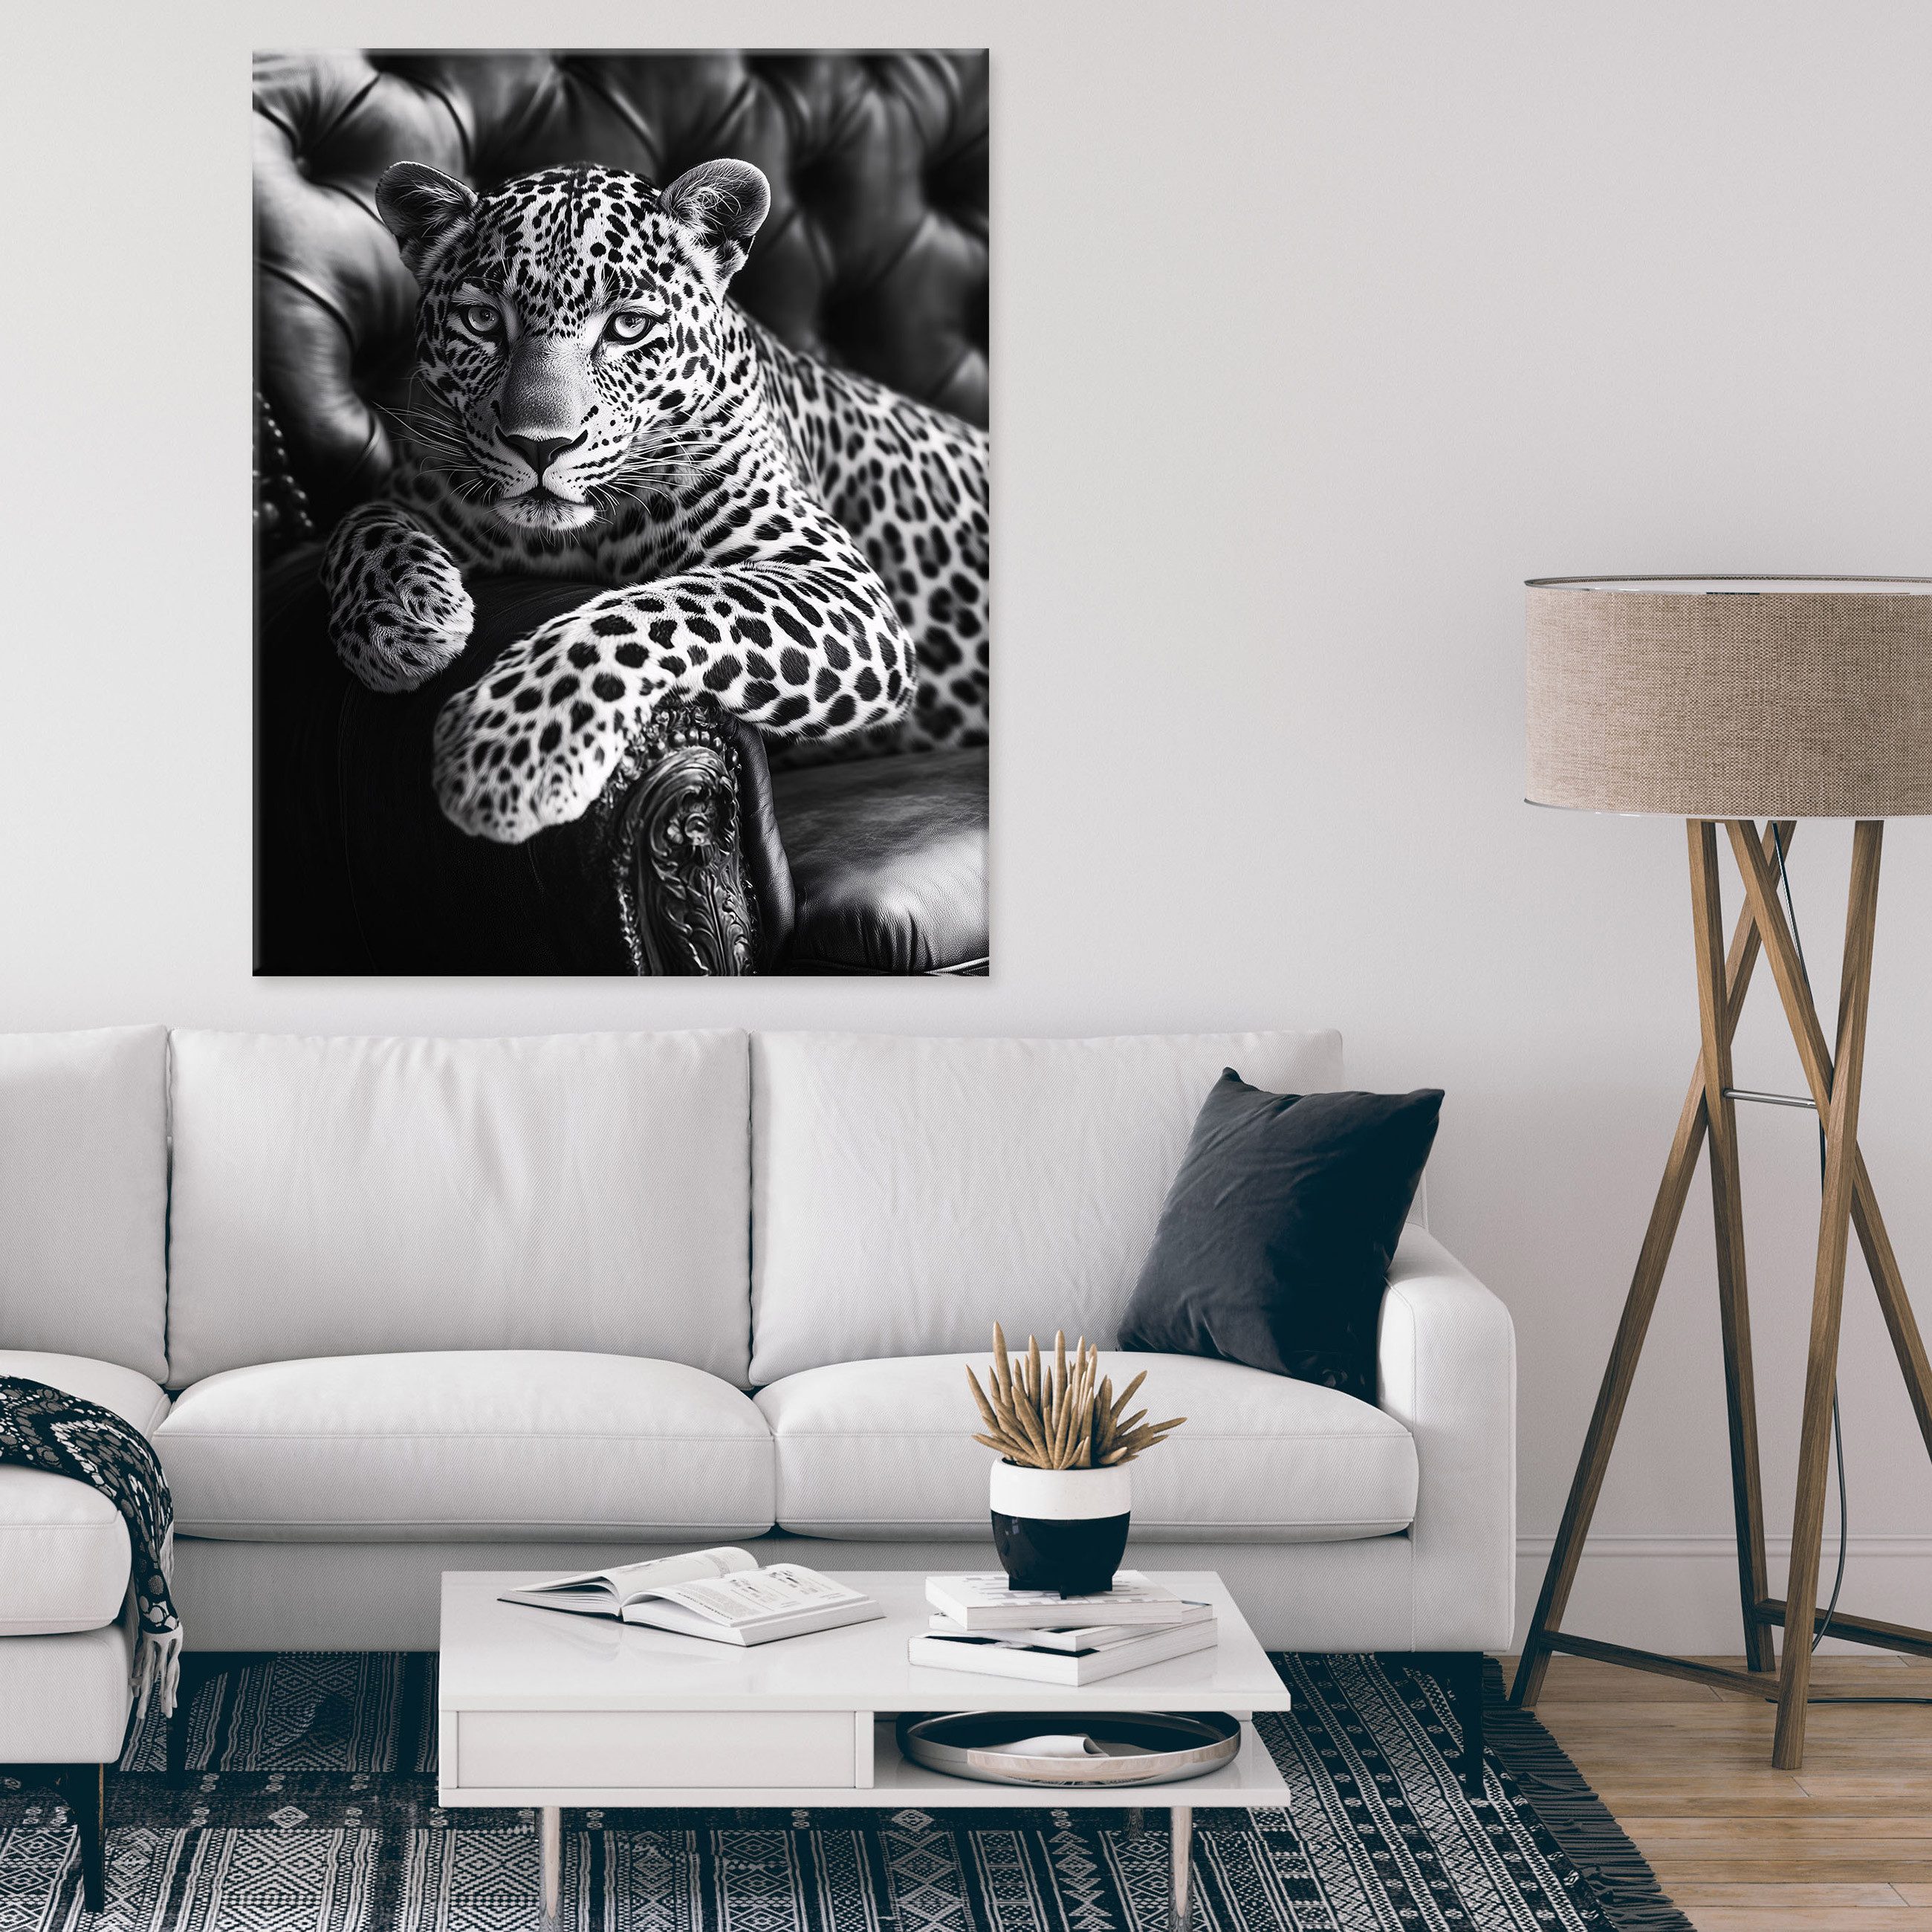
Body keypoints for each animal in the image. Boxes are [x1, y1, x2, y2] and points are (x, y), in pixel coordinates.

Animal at [320, 158, 989, 845]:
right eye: (482, 322)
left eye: (628, 326)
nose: (540, 446)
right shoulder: (419, 487)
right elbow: (357, 523)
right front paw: (402, 617)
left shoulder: (837, 581)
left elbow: (656, 608)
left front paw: (508, 750)